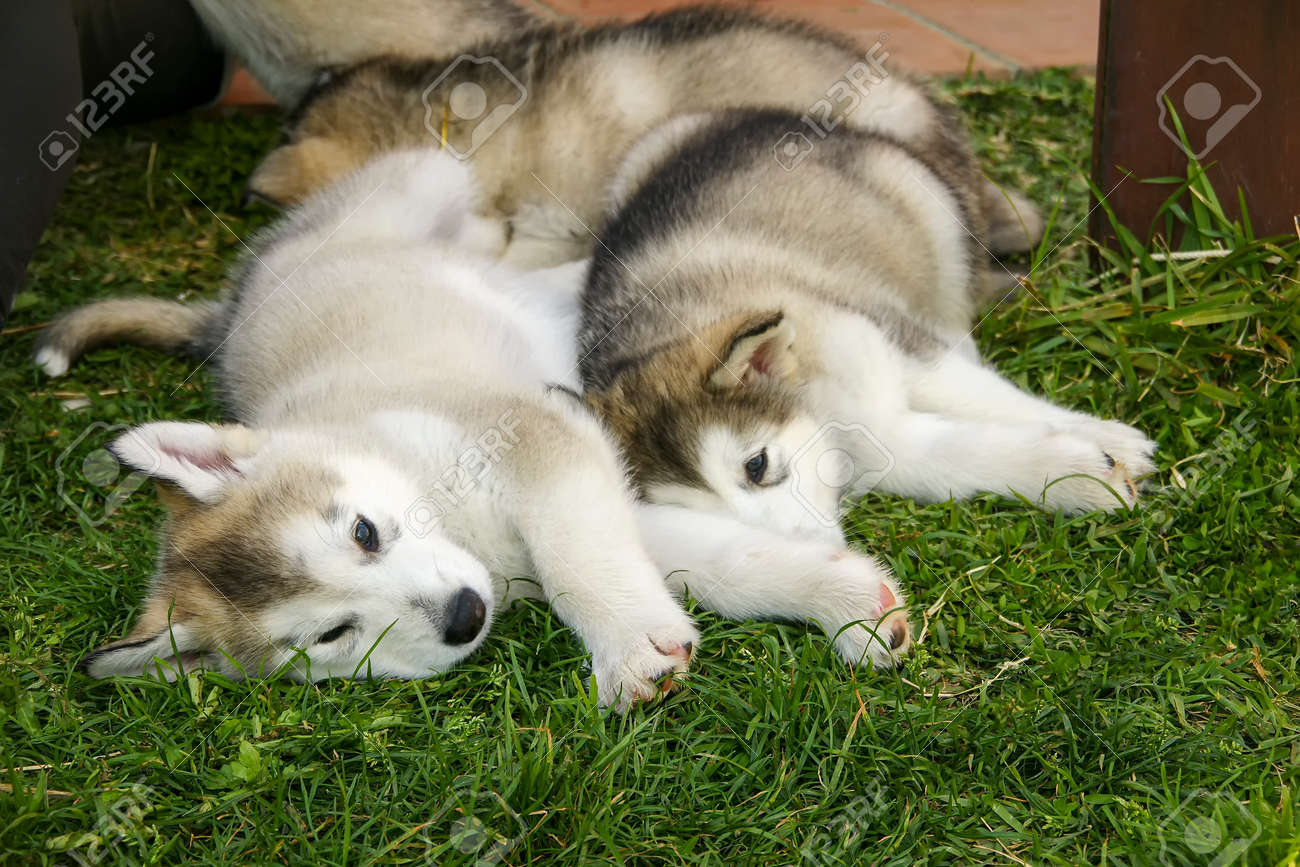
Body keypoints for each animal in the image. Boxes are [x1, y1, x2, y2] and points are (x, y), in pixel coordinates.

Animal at [37, 150, 912, 704]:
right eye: (331, 636)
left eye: (362, 531)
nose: (465, 614)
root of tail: (233, 300)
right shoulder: (581, 507)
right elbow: (715, 562)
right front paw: (844, 598)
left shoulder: (536, 440)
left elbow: (584, 563)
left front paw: (628, 642)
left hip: (429, 177)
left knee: (492, 227)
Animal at [578, 109, 1157, 540]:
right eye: (696, 516)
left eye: (756, 466)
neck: (820, 405)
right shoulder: (882, 442)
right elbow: (953, 453)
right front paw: (1076, 473)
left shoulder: (884, 334)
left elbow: (989, 396)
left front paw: (1108, 438)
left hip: (926, 208)